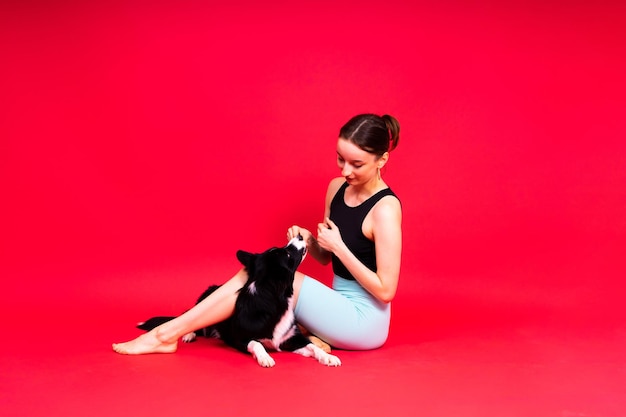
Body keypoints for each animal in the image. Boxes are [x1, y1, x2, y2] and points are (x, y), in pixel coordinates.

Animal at [137, 236, 342, 366]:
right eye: (288, 255)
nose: (299, 235)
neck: (273, 299)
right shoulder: (240, 339)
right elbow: (257, 343)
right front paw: (265, 358)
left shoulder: (290, 339)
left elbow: (312, 346)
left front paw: (327, 358)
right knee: (189, 315)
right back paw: (189, 334)